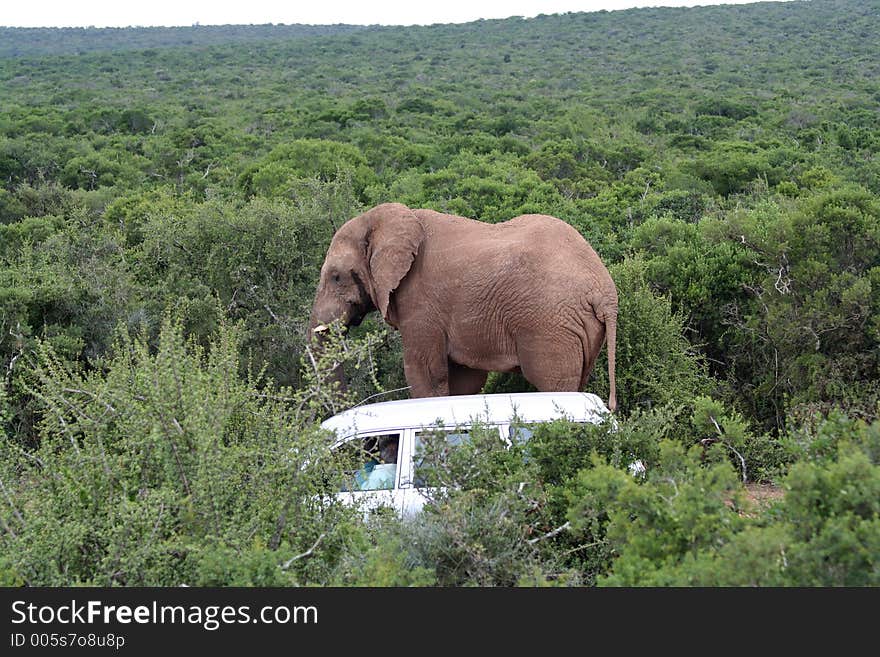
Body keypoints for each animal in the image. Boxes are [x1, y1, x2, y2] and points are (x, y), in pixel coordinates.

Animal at [310, 201, 620, 410]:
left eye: (336, 277)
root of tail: (605, 292)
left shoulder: (421, 301)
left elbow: (425, 373)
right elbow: (463, 379)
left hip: (549, 324)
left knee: (555, 384)